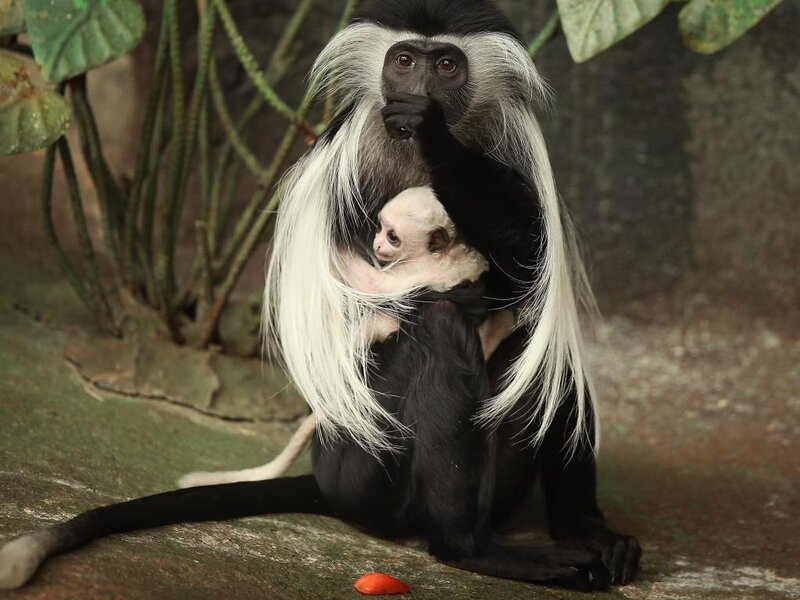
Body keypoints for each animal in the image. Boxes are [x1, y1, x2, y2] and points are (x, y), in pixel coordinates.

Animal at [0, 0, 641, 592]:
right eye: (404, 62)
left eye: (446, 65)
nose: (418, 93)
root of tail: (327, 474)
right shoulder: (349, 157)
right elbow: (353, 288)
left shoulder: (515, 150)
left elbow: (531, 269)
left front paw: (439, 142)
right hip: (368, 462)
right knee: (440, 330)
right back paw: (471, 548)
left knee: (544, 342)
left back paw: (591, 536)